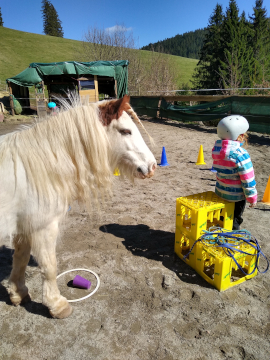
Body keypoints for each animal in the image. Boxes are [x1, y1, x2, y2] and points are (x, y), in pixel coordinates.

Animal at [0, 95, 156, 318]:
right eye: (125, 131)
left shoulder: (24, 228)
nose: (152, 166)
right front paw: (56, 305)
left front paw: (18, 294)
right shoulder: (43, 227)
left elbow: (20, 259)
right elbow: (49, 266)